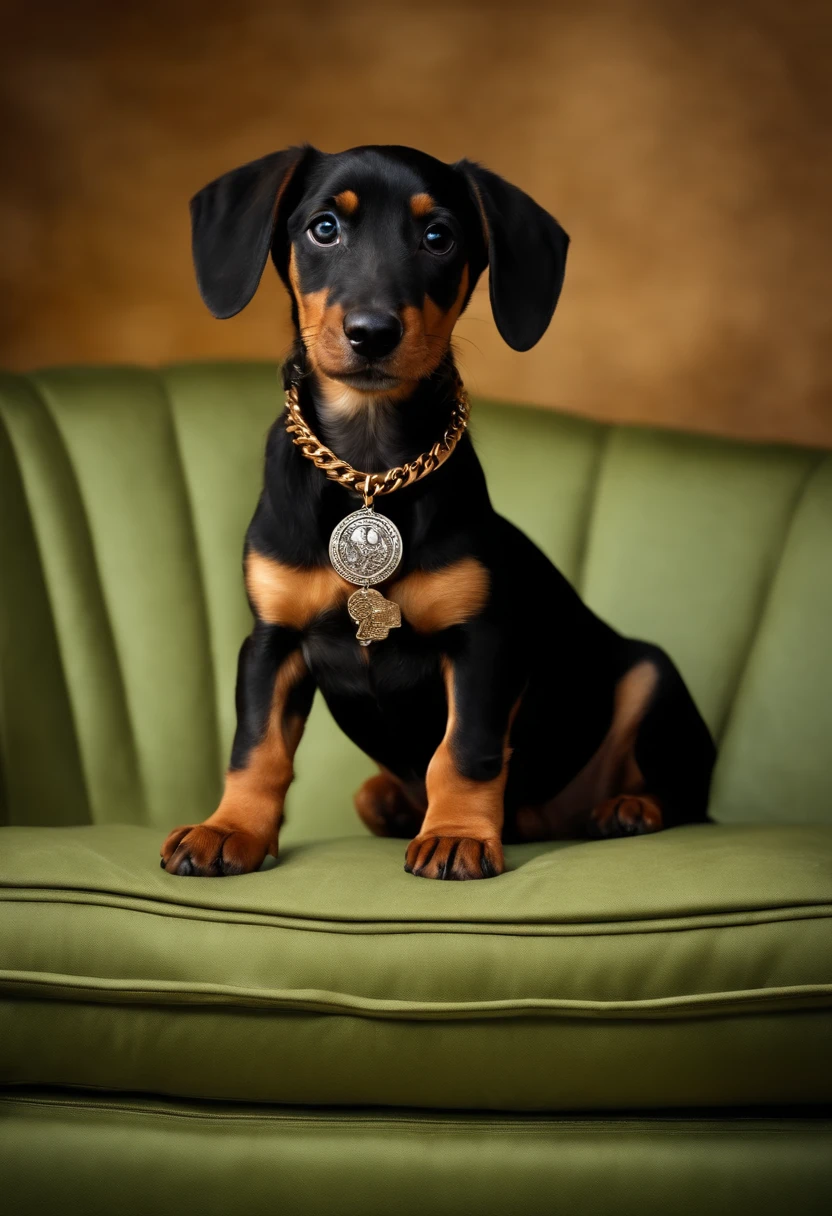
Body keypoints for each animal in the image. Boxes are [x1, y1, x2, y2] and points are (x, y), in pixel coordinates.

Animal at [159, 144, 710, 885]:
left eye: (438, 237)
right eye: (324, 228)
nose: (372, 334)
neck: (369, 467)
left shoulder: (480, 644)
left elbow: (465, 751)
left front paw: (455, 835)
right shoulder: (272, 640)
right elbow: (256, 748)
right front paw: (230, 830)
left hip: (652, 677)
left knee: (684, 794)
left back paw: (628, 808)